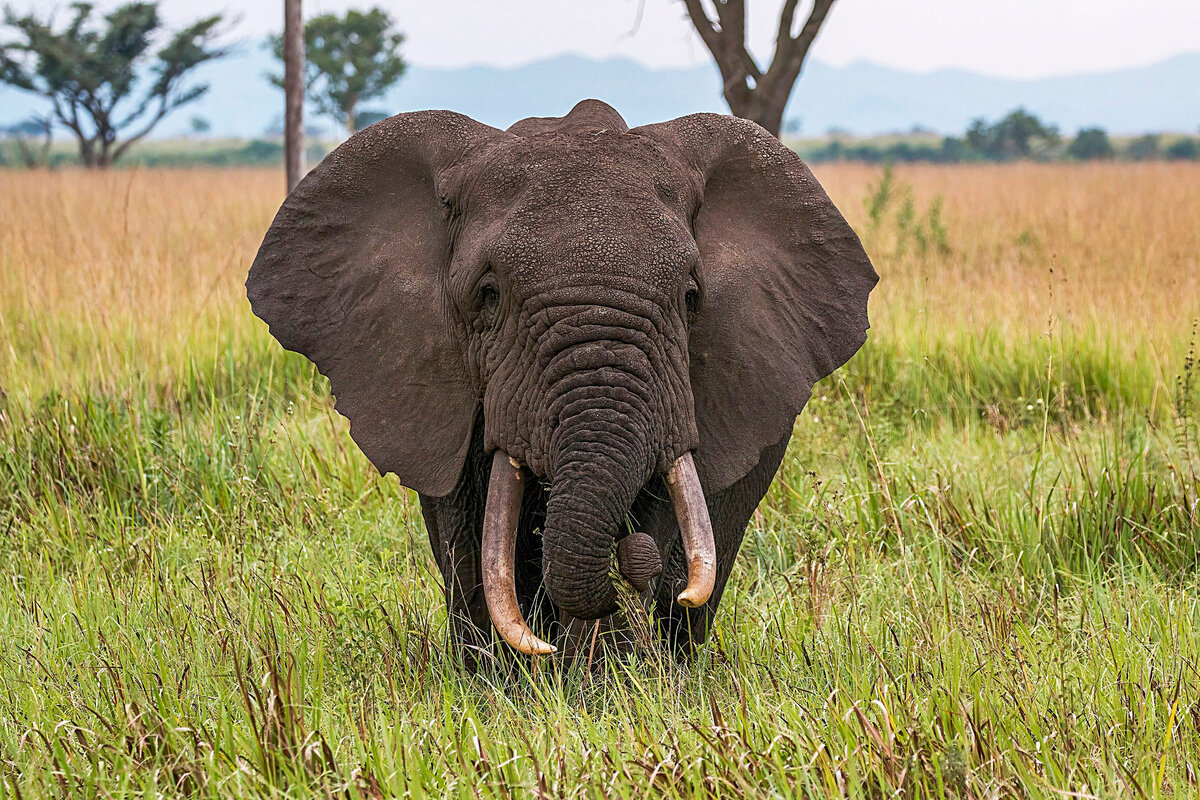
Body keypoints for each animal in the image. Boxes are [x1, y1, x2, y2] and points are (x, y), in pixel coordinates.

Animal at [246, 98, 883, 662]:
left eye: (690, 296)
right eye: (488, 294)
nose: (629, 558)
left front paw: (600, 677)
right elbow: (467, 530)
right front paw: (506, 682)